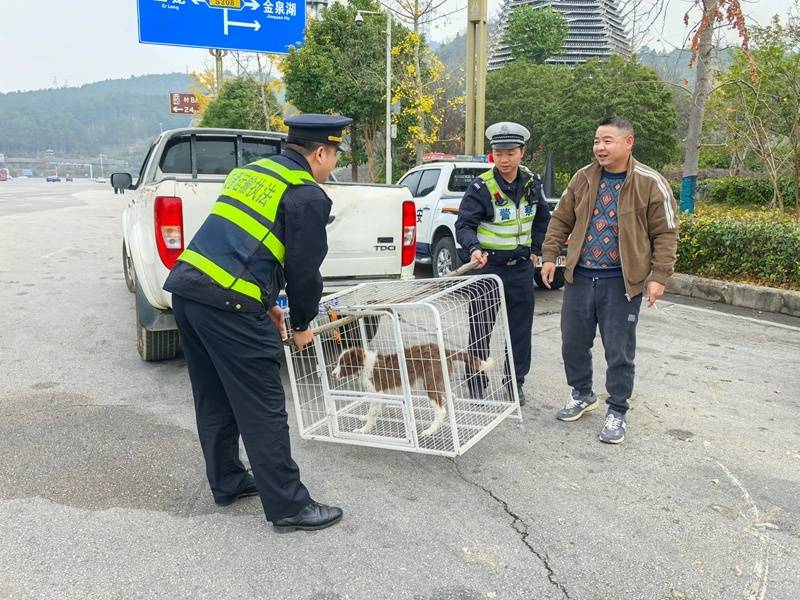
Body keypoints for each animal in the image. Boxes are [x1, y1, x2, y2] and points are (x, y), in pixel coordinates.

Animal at [330, 343, 494, 437]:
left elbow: (372, 412)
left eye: (344, 364)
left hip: (430, 384)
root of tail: (445, 351)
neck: (365, 364)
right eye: (338, 362)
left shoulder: (377, 392)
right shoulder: (383, 393)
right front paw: (366, 419)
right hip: (439, 382)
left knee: (441, 410)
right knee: (451, 397)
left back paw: (430, 430)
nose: (332, 375)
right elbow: (376, 410)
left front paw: (364, 429)